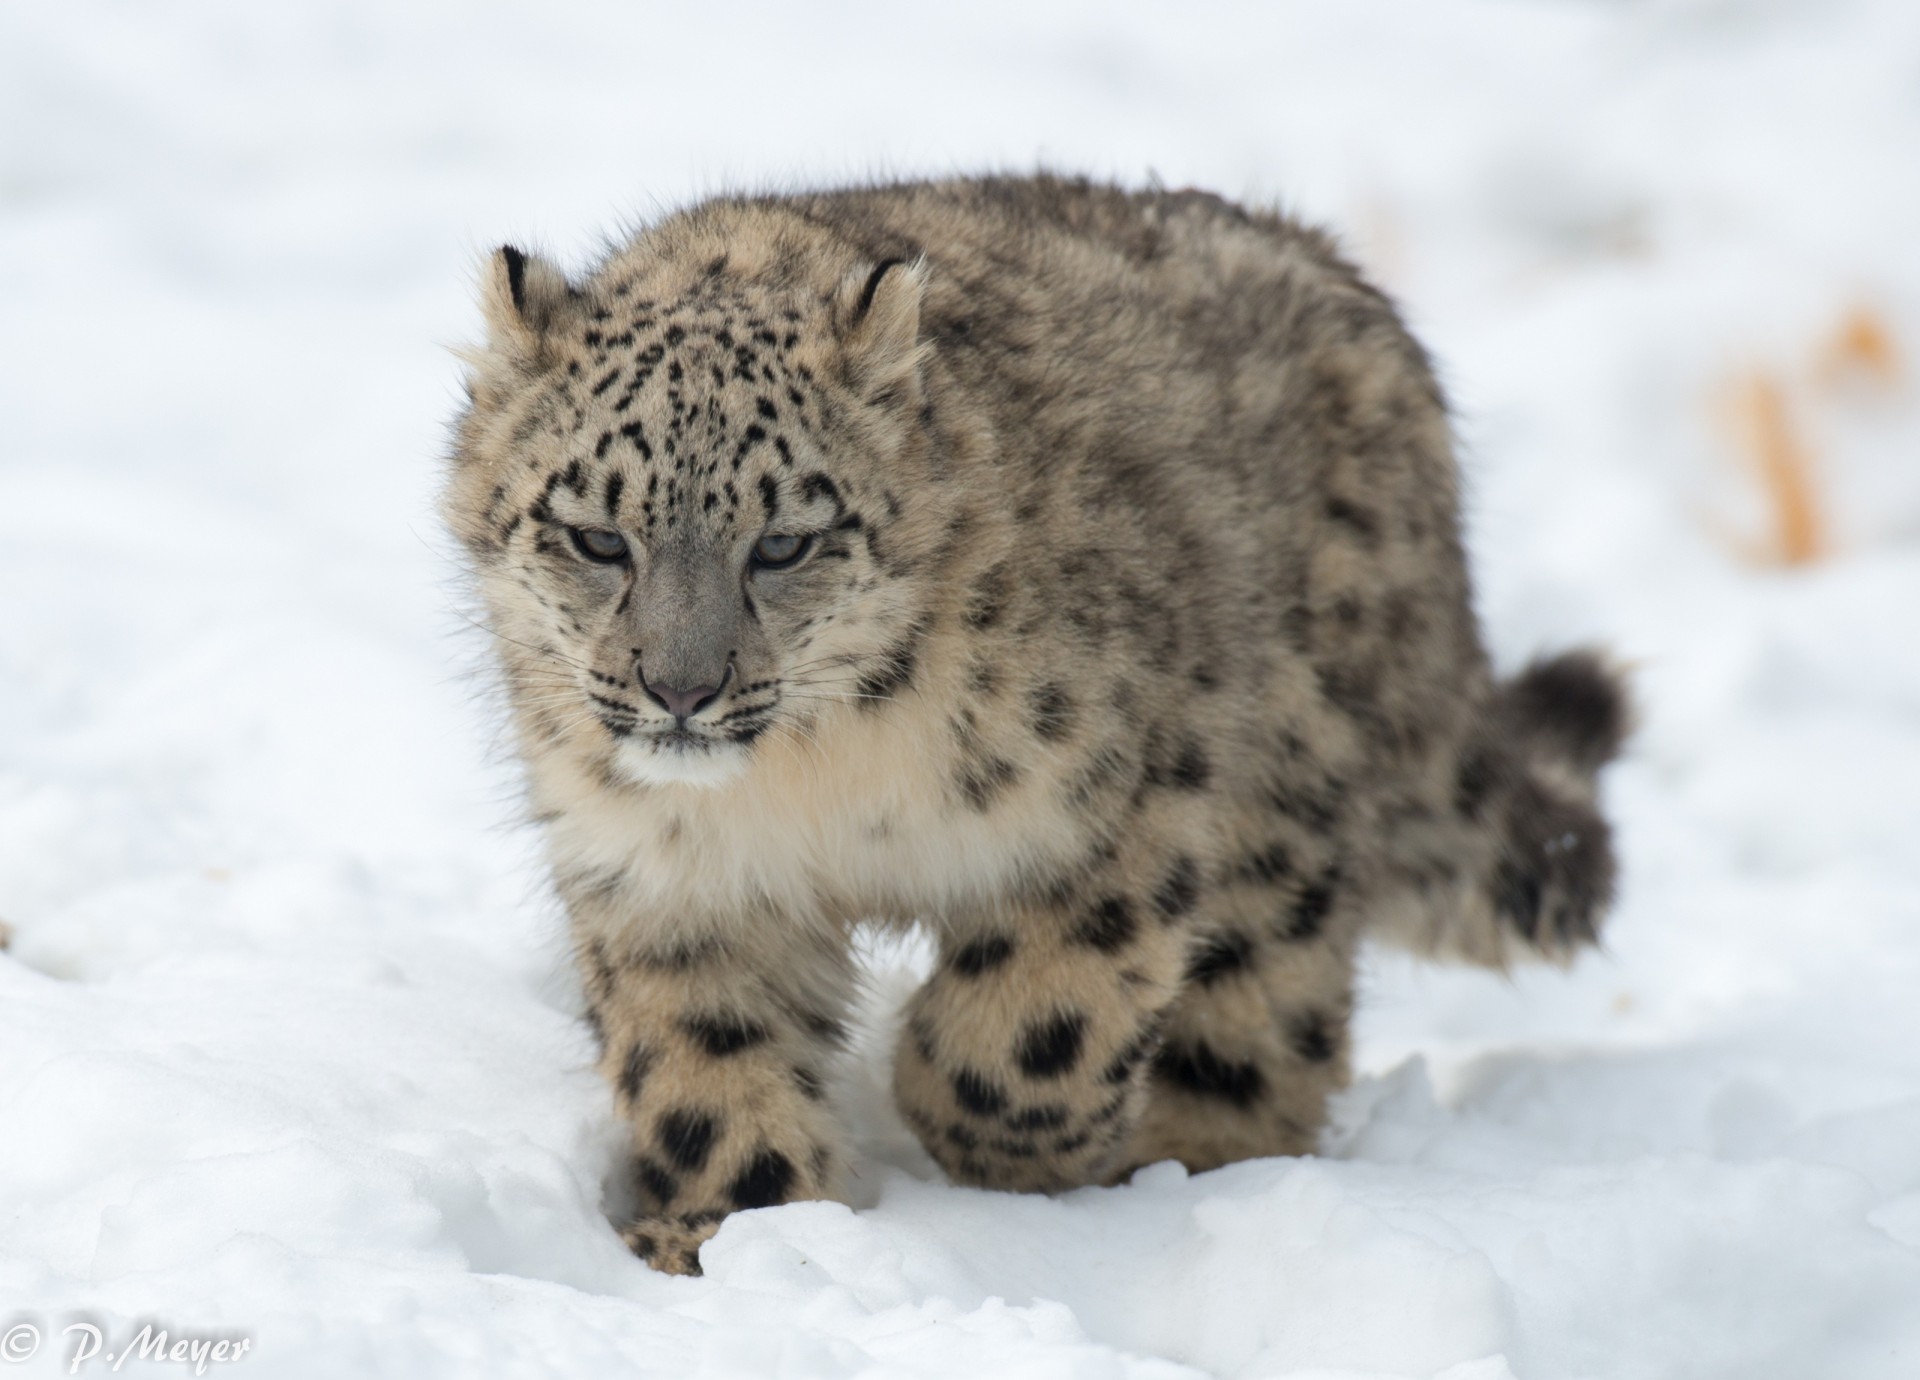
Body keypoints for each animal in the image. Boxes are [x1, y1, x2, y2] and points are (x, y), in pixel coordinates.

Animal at [441, 175, 1628, 1282]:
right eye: (597, 538)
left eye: (782, 544)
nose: (680, 689)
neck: (816, 782)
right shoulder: (666, 877)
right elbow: (706, 1064)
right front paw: (733, 1232)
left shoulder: (1132, 802)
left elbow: (1034, 1025)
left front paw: (1006, 1148)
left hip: (1292, 791)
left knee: (1270, 1009)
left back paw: (1190, 1171)